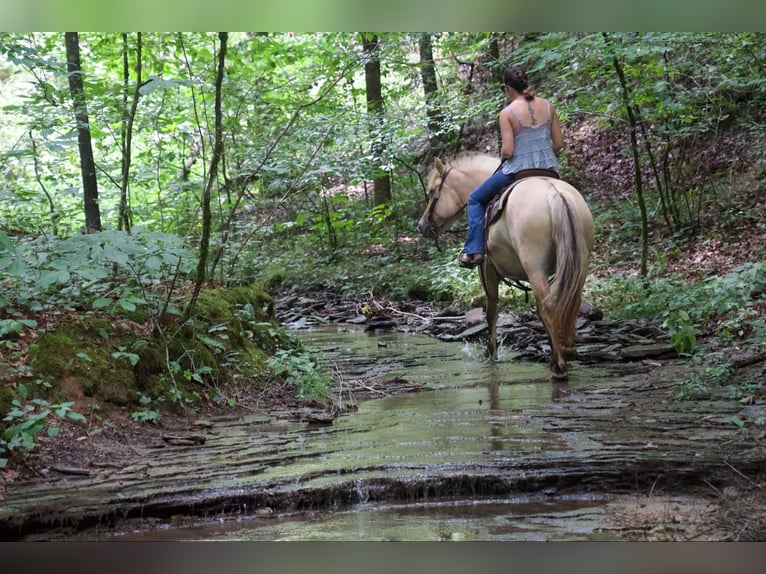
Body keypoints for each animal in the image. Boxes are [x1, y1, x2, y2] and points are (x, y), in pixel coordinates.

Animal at [420, 152, 592, 382]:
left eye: (431, 191)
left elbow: (491, 312)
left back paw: (559, 367)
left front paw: (490, 354)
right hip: (579, 264)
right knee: (569, 303)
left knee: (551, 307)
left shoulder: (487, 270)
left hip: (535, 268)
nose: (421, 226)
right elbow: (540, 312)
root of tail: (555, 194)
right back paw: (567, 351)